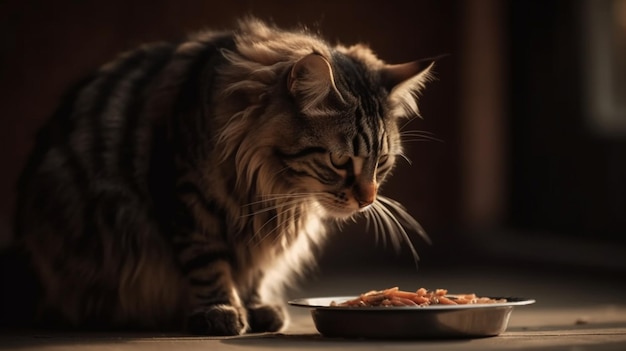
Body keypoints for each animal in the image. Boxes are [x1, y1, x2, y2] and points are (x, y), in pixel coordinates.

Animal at [8, 17, 434, 336]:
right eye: (340, 161)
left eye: (381, 163)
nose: (368, 199)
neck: (271, 183)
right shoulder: (185, 196)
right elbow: (207, 262)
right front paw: (221, 310)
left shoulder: (264, 227)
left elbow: (257, 269)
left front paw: (257, 306)